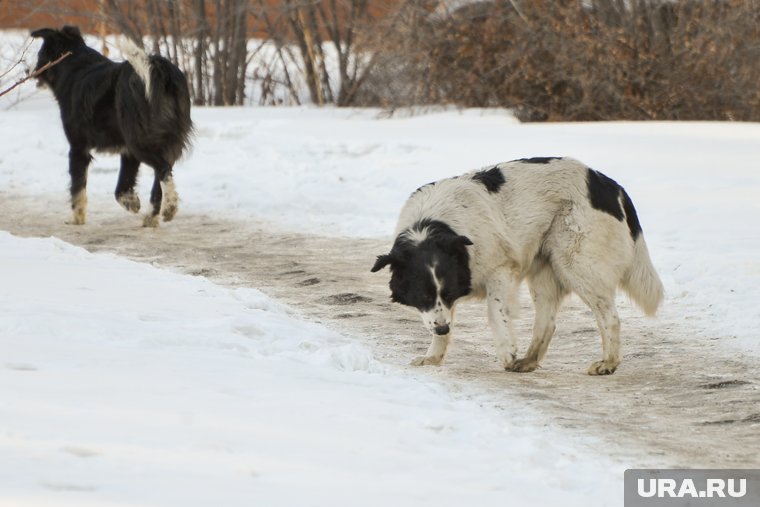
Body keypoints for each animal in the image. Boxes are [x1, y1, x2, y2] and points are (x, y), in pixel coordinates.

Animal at [31, 25, 193, 228]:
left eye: (40, 54)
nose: (31, 71)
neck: (75, 68)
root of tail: (161, 70)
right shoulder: (128, 153)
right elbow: (122, 187)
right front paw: (132, 202)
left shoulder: (78, 148)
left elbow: (77, 187)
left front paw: (77, 218)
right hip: (161, 142)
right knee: (162, 174)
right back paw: (152, 217)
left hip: (140, 141)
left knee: (163, 169)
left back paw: (170, 206)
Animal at [372, 157, 664, 376]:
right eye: (422, 296)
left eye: (445, 293)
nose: (443, 329)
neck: (432, 227)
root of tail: (610, 185)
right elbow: (440, 320)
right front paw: (433, 356)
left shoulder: (501, 270)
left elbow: (494, 311)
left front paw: (505, 349)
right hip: (546, 271)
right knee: (547, 322)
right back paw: (528, 361)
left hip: (576, 264)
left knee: (610, 317)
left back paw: (608, 363)